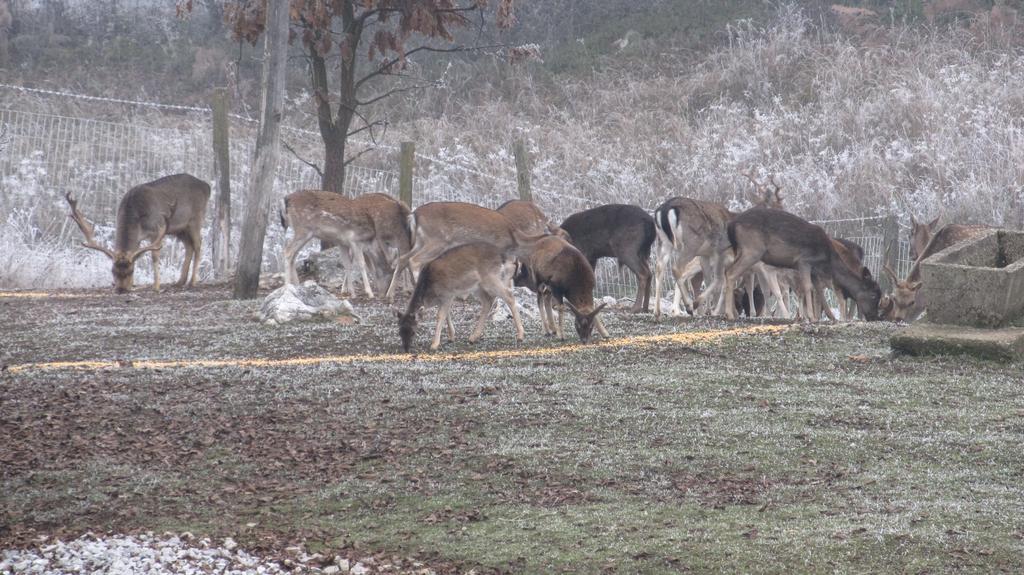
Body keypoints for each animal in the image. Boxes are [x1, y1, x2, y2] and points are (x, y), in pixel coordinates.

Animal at [64, 171, 209, 290]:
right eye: (113, 271)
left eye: (131, 271)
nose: (121, 289)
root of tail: (207, 186)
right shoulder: (139, 237)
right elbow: (136, 253)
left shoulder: (157, 229)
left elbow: (154, 256)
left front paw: (156, 286)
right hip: (180, 229)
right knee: (189, 246)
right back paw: (180, 282)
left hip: (196, 219)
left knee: (198, 245)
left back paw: (192, 282)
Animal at [395, 240, 524, 351]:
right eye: (399, 331)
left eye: (413, 331)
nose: (406, 348)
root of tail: (506, 257)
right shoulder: (444, 299)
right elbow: (446, 314)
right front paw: (451, 336)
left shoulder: (448, 294)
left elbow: (440, 315)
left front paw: (434, 344)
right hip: (478, 287)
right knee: (488, 301)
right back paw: (473, 337)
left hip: (491, 279)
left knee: (509, 296)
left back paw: (520, 335)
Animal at [720, 206, 880, 323]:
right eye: (873, 295)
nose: (874, 317)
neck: (828, 259)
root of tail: (731, 225)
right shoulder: (804, 261)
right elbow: (808, 287)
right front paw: (811, 317)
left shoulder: (814, 271)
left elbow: (819, 292)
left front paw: (830, 317)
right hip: (752, 250)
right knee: (730, 273)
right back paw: (730, 314)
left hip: (742, 251)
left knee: (727, 272)